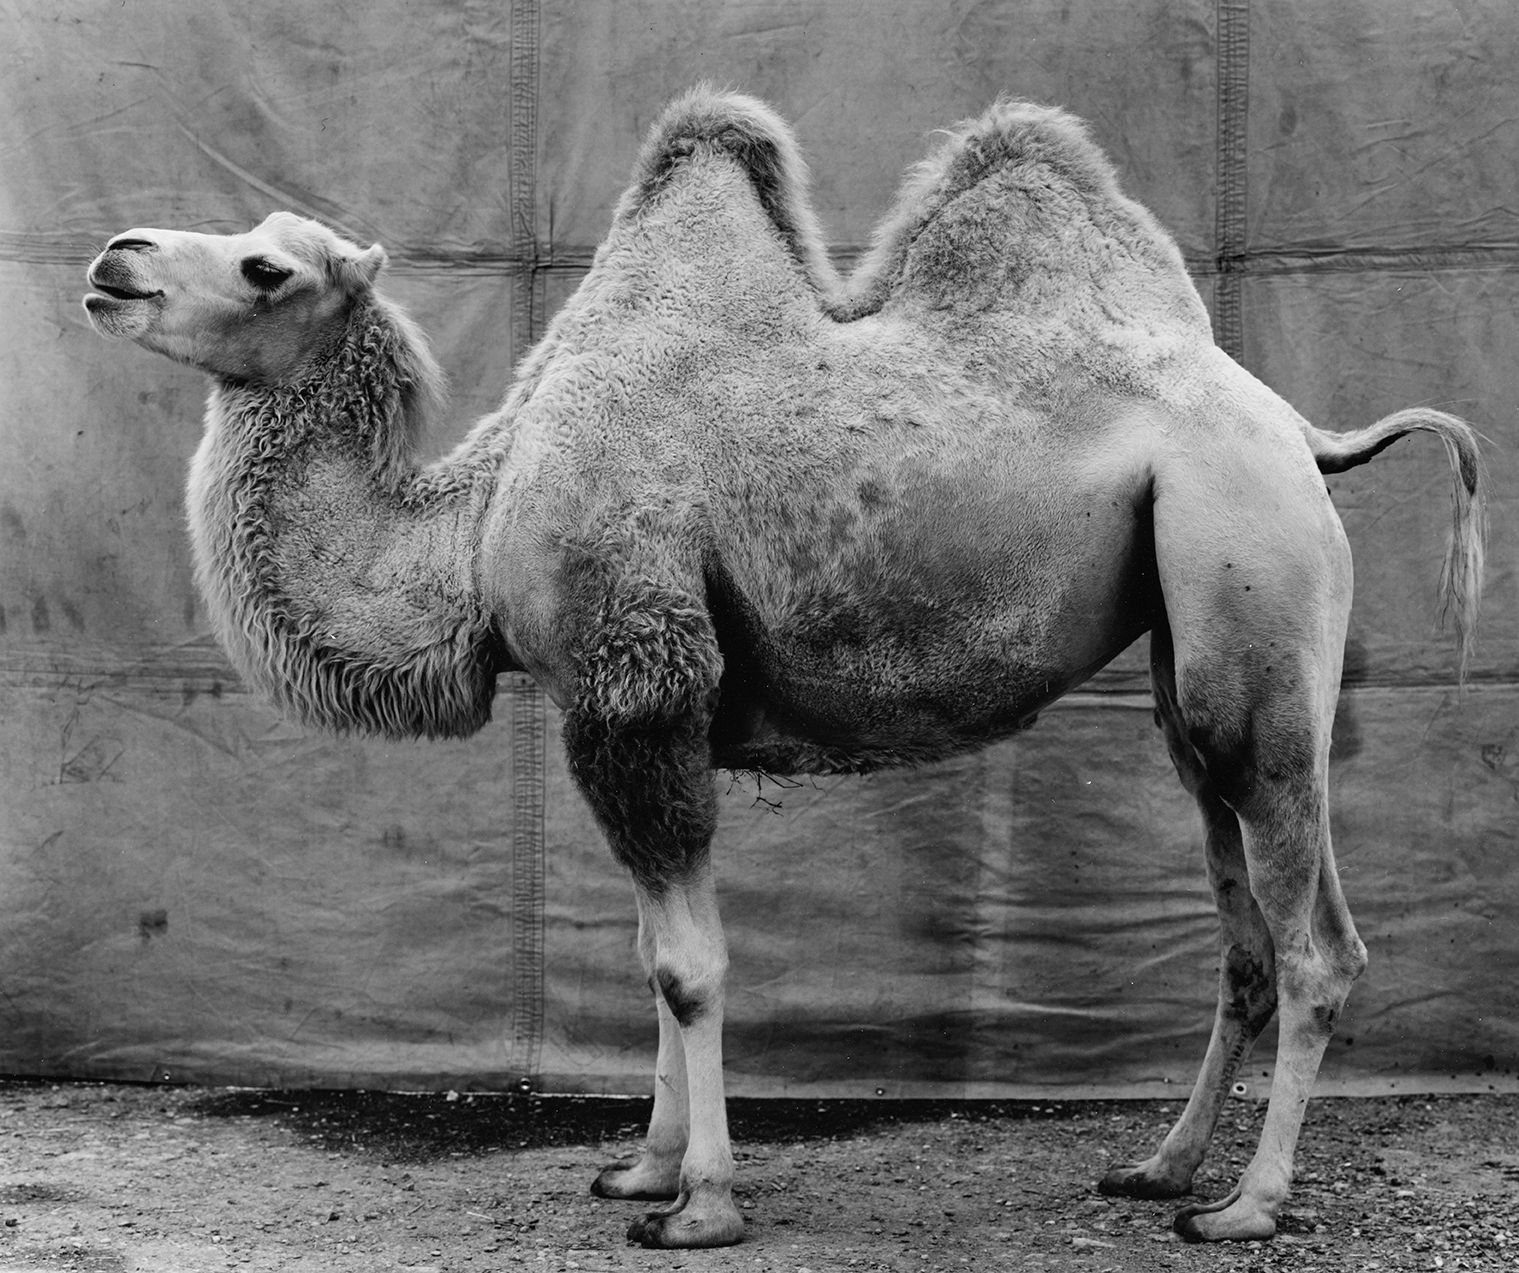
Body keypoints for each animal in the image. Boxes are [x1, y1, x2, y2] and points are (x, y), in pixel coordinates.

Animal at [84, 87, 1484, 1251]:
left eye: (266, 265)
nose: (114, 259)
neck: (472, 525)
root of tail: (1300, 430)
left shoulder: (634, 681)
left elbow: (685, 968)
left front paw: (697, 1205)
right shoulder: (641, 707)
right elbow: (650, 957)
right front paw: (641, 1167)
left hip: (1256, 587)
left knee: (1315, 941)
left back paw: (1248, 1204)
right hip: (1190, 653)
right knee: (1238, 913)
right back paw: (1159, 1168)